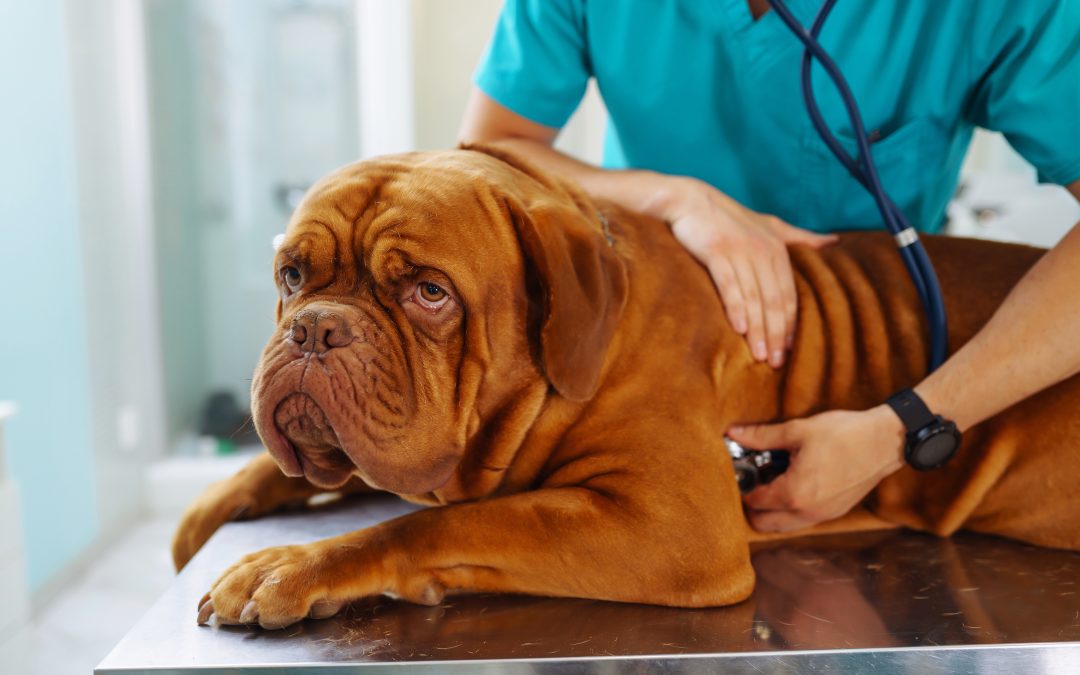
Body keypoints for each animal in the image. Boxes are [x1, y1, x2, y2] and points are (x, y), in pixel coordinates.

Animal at [174, 144, 1080, 630]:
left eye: (430, 292)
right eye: (293, 275)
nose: (315, 329)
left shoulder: (673, 525)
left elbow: (438, 524)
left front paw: (292, 565)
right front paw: (206, 514)